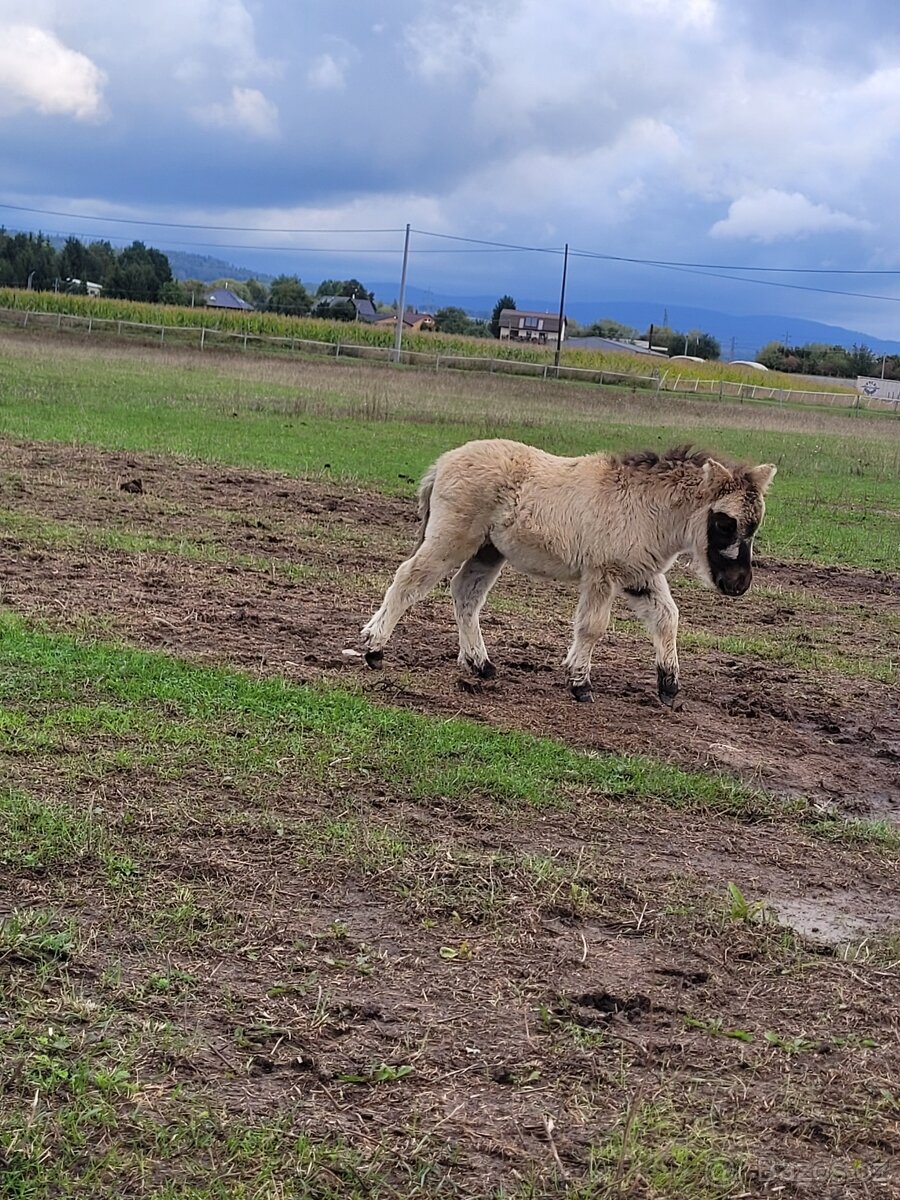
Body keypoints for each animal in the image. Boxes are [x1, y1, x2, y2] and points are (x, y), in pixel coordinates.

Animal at [360, 439, 776, 707]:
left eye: (756, 525)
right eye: (724, 523)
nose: (738, 585)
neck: (647, 507)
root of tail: (444, 461)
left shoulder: (640, 576)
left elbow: (666, 618)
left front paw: (669, 688)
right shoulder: (602, 574)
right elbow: (592, 627)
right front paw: (579, 684)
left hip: (488, 550)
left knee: (465, 593)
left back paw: (480, 664)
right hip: (453, 537)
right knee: (409, 578)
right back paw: (374, 649)